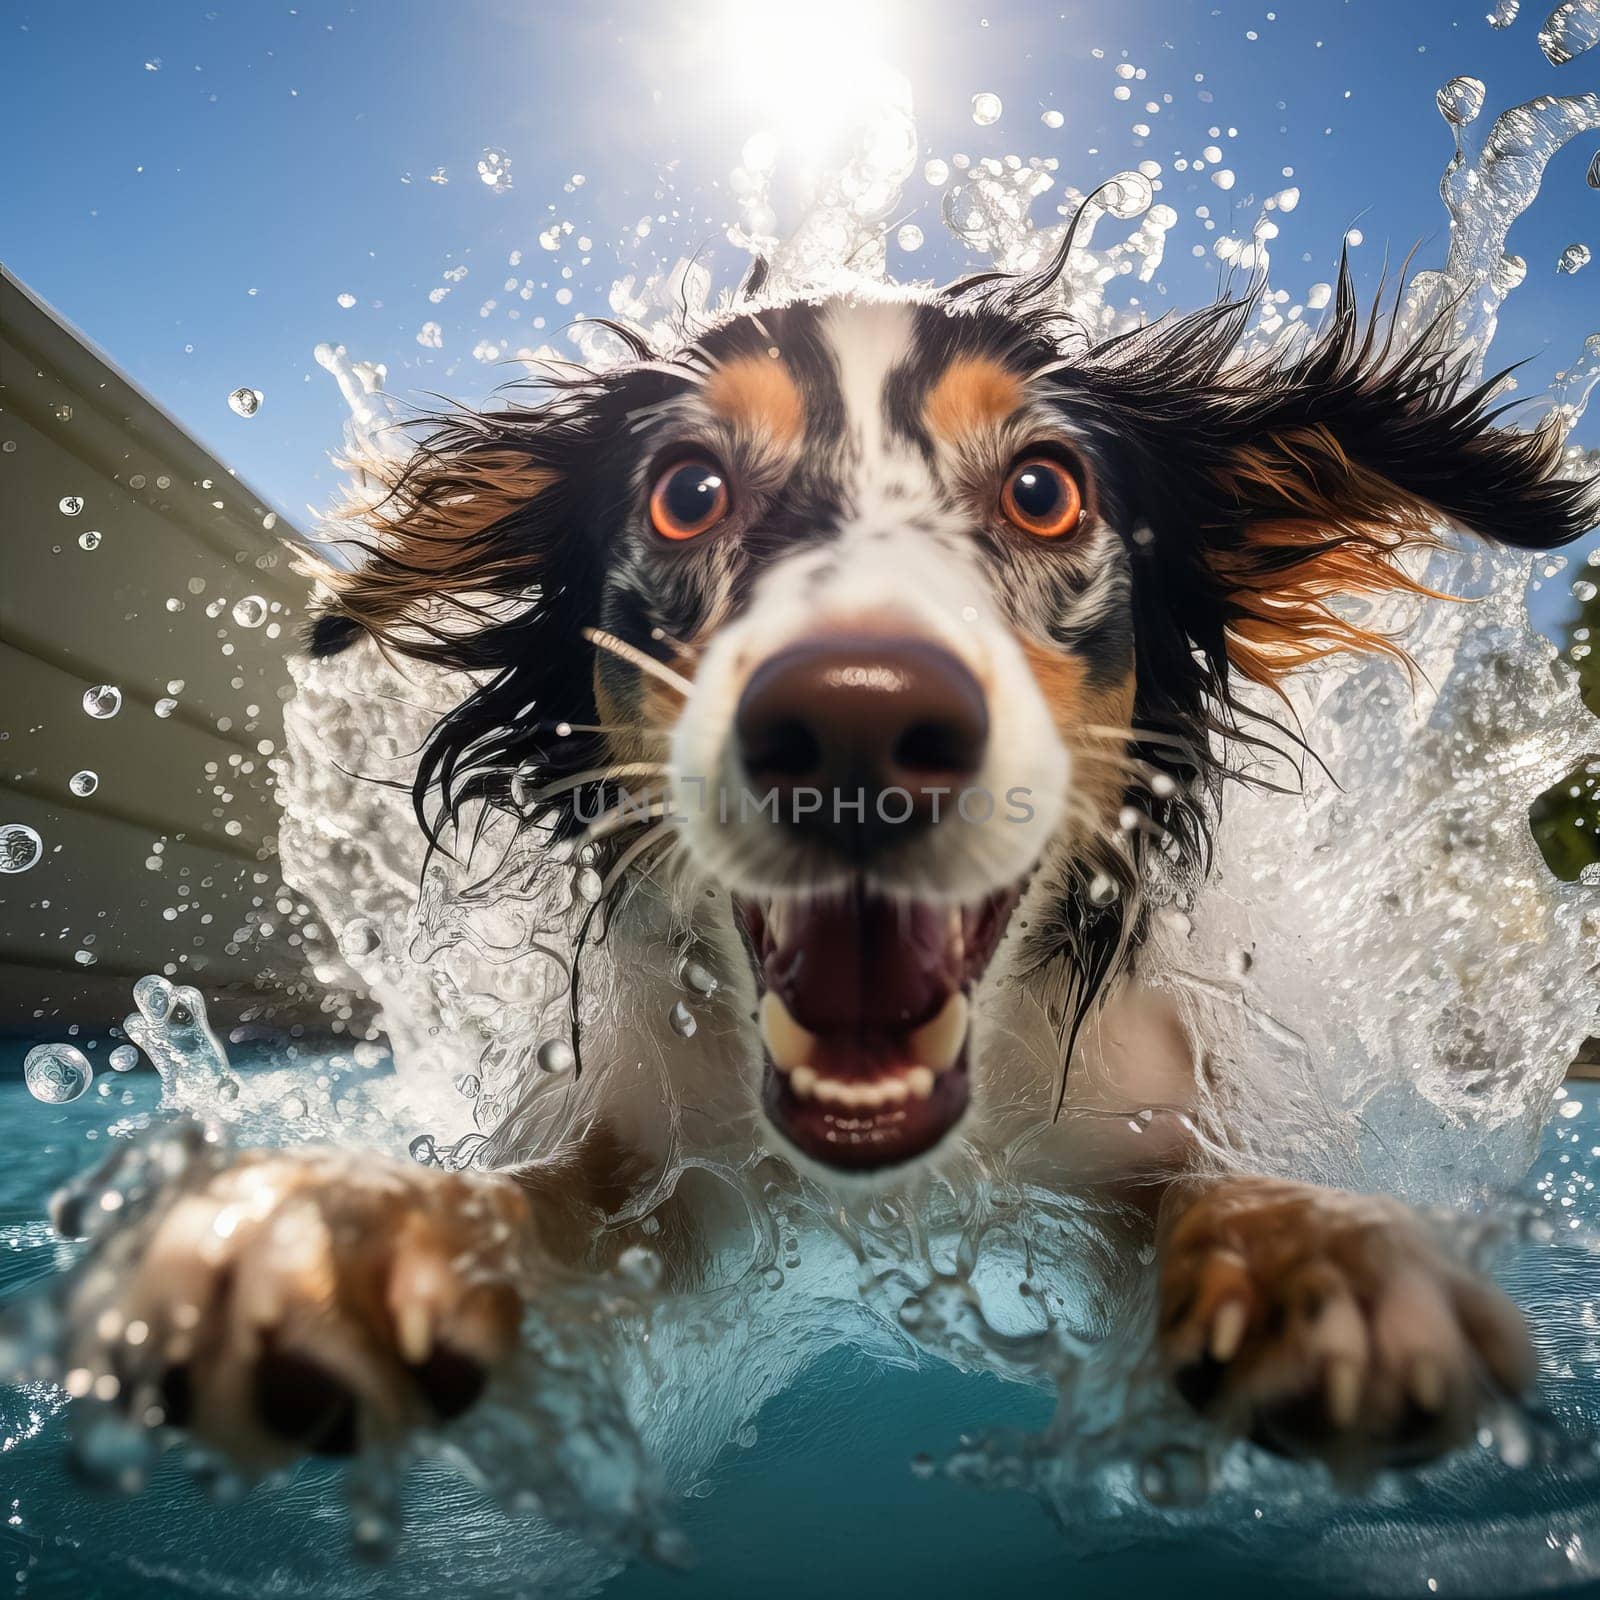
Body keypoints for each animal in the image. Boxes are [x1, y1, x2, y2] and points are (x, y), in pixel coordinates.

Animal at [56, 243, 1593, 1478]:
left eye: (1045, 491)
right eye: (686, 492)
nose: (856, 720)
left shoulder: (1132, 1139)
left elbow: (1216, 1189)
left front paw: (1327, 1260)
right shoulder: (652, 1160)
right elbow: (532, 1197)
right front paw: (344, 1233)